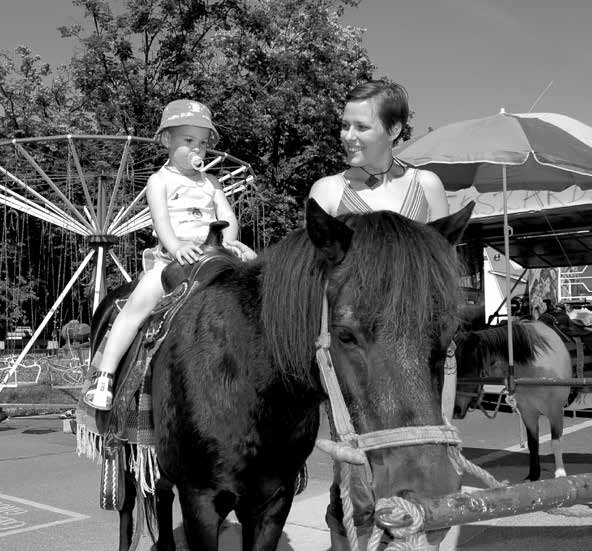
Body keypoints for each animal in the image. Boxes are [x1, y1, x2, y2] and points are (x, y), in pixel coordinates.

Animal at [96, 201, 472, 551]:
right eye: (345, 334)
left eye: (450, 332)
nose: (430, 492)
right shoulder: (200, 501)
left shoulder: (274, 498)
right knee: (128, 511)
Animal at [454, 322, 572, 480]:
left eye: (468, 369)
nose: (456, 409)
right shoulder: (528, 412)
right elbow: (533, 443)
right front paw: (533, 475)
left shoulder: (556, 411)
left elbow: (556, 442)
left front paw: (560, 473)